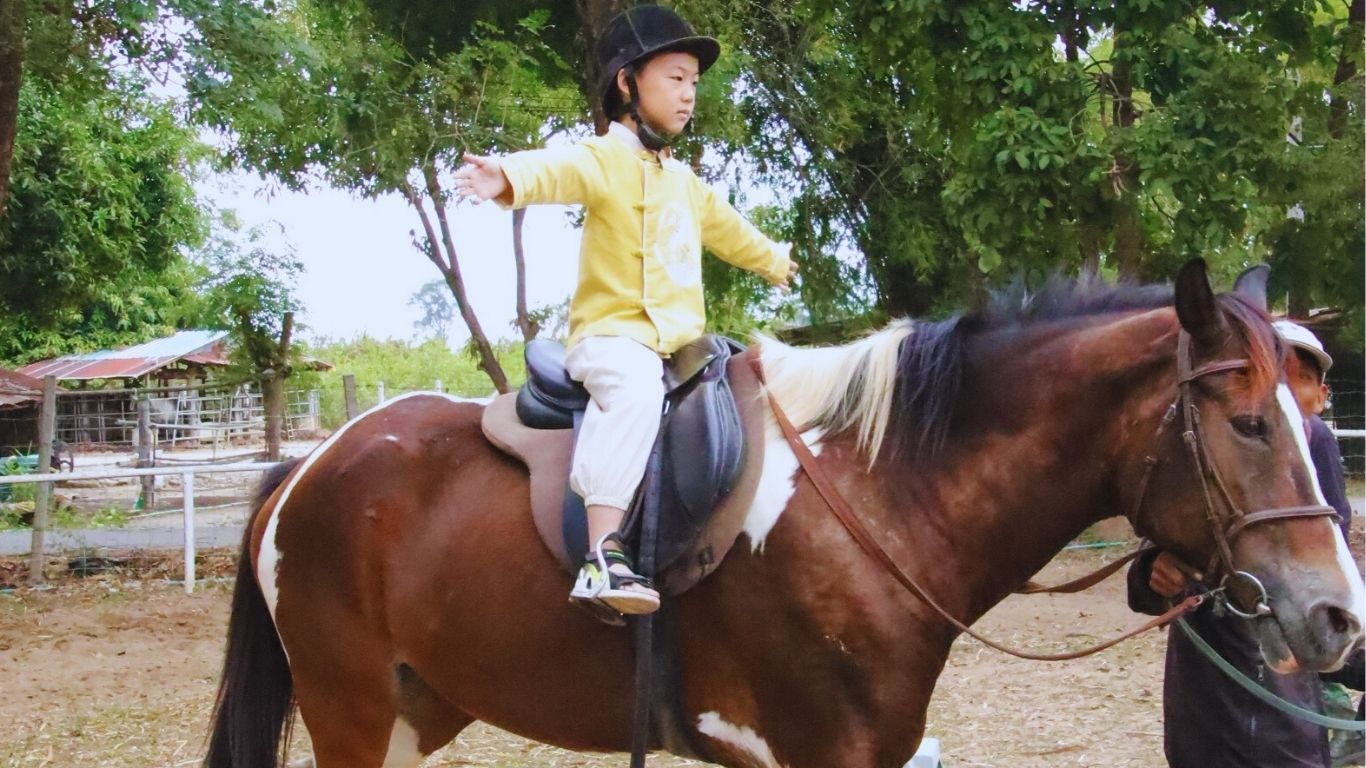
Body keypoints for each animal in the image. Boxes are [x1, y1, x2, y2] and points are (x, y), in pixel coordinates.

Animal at [204, 260, 1363, 768]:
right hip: (350, 710)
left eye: (1314, 420)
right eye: (1248, 423)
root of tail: (308, 469)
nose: (1338, 616)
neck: (881, 499)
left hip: (414, 710)